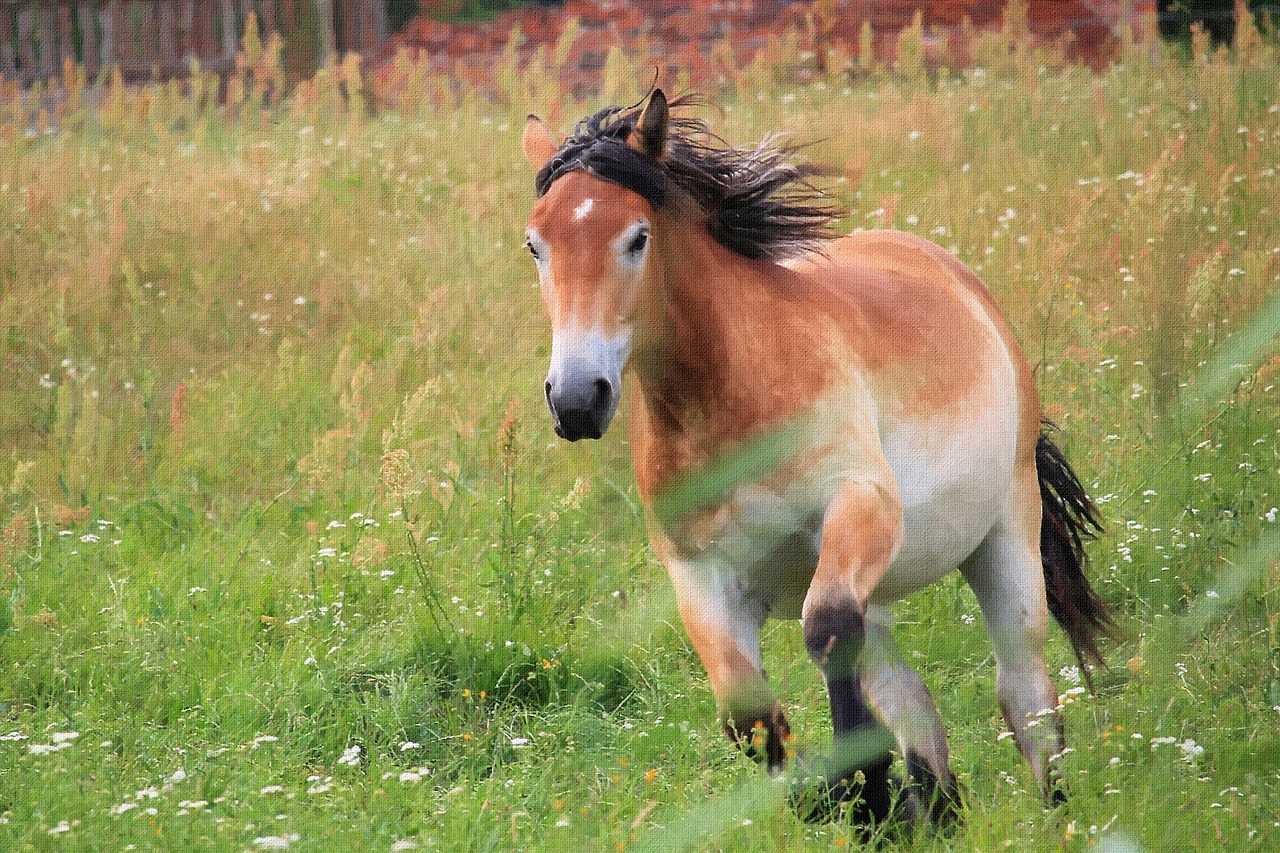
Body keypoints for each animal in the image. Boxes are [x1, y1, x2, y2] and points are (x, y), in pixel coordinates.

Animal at [517, 91, 1111, 824]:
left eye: (637, 237)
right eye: (535, 244)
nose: (576, 399)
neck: (733, 401)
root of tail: (961, 281)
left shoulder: (859, 507)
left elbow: (826, 633)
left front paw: (866, 794)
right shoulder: (701, 577)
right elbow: (749, 716)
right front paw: (848, 802)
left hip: (1003, 533)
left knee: (1024, 692)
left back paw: (1056, 811)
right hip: (877, 586)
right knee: (910, 694)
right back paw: (935, 812)